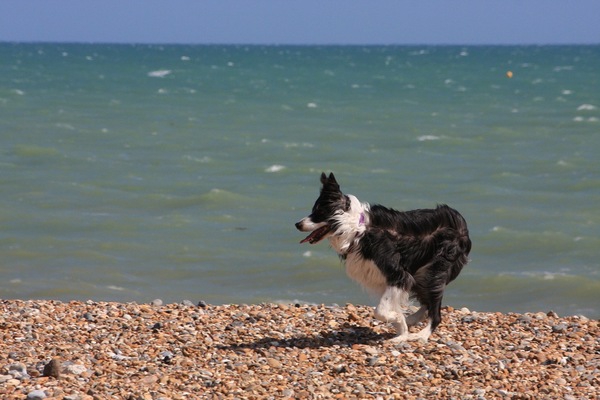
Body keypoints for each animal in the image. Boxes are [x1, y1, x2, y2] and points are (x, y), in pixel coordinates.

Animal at [292, 173, 472, 342]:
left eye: (319, 212)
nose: (297, 224)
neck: (356, 229)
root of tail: (462, 223)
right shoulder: (386, 280)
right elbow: (388, 307)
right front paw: (401, 330)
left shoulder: (398, 275)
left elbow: (379, 311)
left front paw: (400, 325)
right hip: (423, 274)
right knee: (428, 303)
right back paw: (412, 320)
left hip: (434, 271)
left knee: (436, 312)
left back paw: (421, 335)